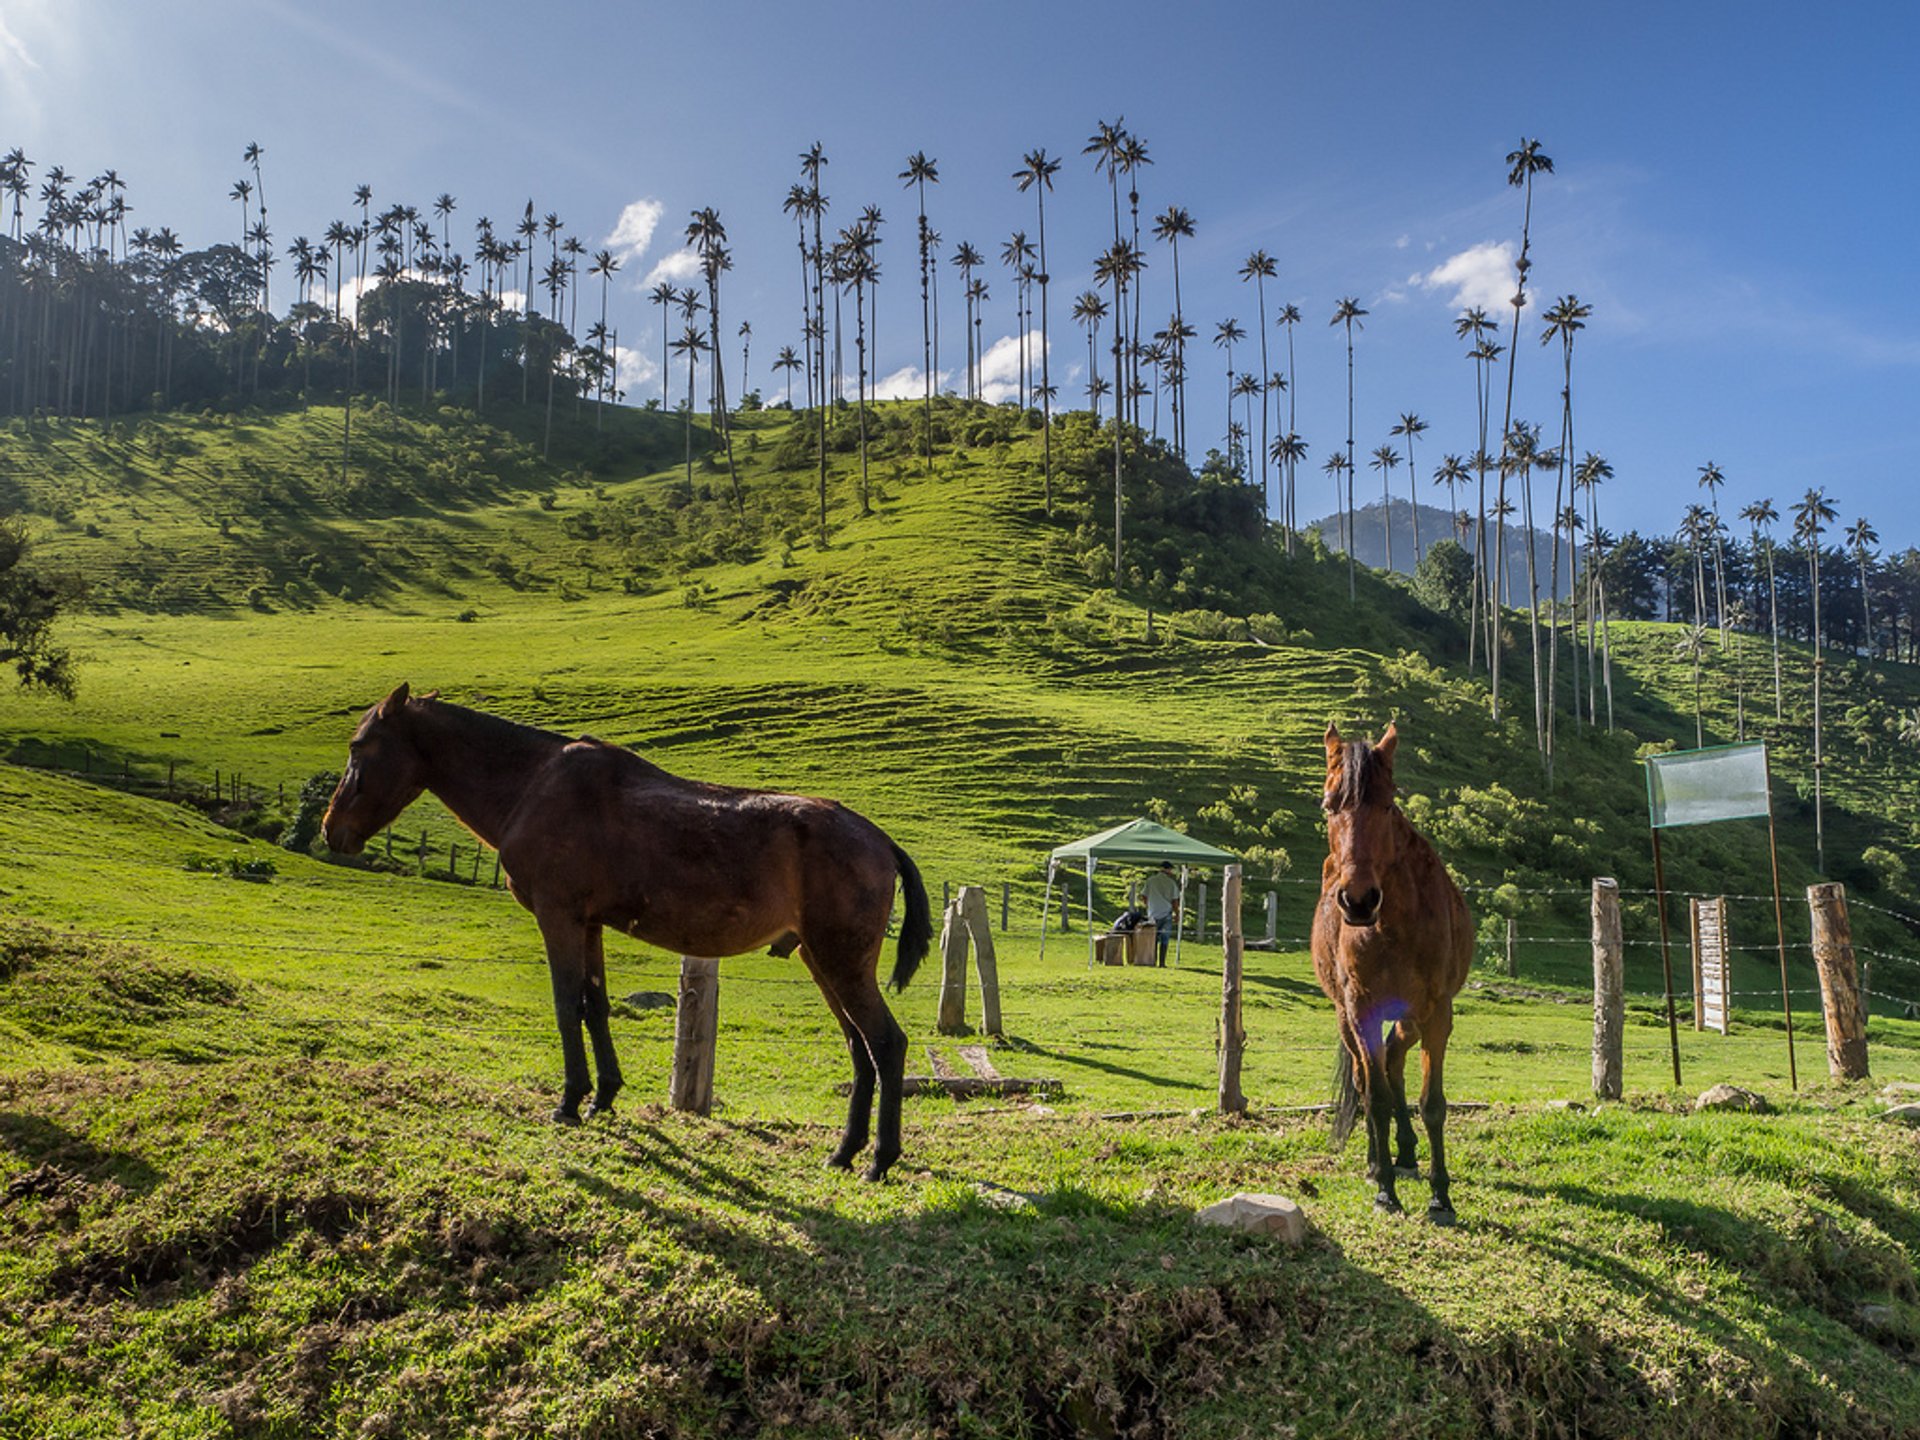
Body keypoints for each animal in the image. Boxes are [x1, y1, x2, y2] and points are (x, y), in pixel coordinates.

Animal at [320, 687, 929, 1182]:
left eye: (358, 748)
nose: (331, 830)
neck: (532, 785)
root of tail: (878, 840)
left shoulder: (558, 916)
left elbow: (567, 1004)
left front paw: (570, 1101)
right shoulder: (587, 923)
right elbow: (596, 1005)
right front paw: (603, 1096)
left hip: (841, 963)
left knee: (885, 1044)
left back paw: (879, 1159)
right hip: (823, 963)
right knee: (859, 1048)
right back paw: (844, 1152)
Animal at [1313, 725, 1474, 1221]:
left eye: (1387, 804)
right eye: (1329, 806)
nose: (1359, 900)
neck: (1390, 927)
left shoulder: (1437, 1013)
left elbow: (1432, 1103)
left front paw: (1441, 1197)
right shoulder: (1361, 1010)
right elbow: (1377, 1099)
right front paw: (1385, 1189)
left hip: (1409, 1018)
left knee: (1394, 1061)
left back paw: (1405, 1151)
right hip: (1348, 1019)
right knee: (1369, 1078)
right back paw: (1376, 1161)